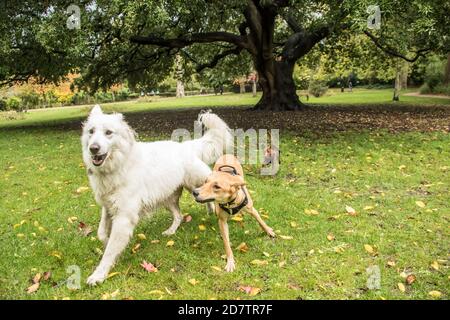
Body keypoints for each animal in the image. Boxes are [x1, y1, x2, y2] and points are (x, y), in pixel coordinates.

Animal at [80, 105, 232, 284]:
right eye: (91, 131)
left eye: (108, 132)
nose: (93, 149)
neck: (120, 164)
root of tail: (186, 146)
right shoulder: (108, 207)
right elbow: (102, 233)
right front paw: (106, 245)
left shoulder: (124, 217)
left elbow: (110, 250)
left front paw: (99, 274)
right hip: (168, 198)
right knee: (179, 215)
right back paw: (173, 230)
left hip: (196, 180)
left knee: (208, 187)